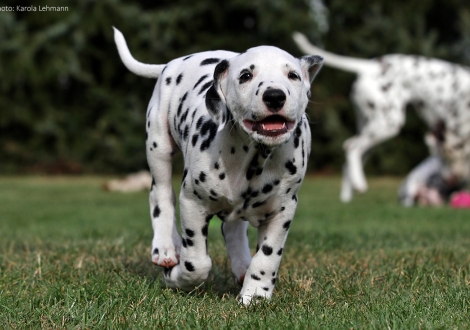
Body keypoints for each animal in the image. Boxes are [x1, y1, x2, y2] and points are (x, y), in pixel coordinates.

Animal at [114, 28, 324, 304]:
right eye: (246, 76)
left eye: (293, 75)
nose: (275, 96)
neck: (254, 157)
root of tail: (173, 62)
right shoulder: (193, 202)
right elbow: (197, 262)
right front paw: (176, 277)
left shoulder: (283, 210)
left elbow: (267, 256)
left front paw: (255, 293)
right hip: (158, 145)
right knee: (160, 195)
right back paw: (166, 248)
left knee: (233, 227)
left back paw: (242, 266)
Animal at [294, 33, 470, 204]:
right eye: (442, 157)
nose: (450, 181)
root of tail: (368, 66)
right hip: (386, 125)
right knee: (351, 146)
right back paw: (359, 185)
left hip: (372, 131)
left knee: (348, 163)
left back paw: (347, 200)